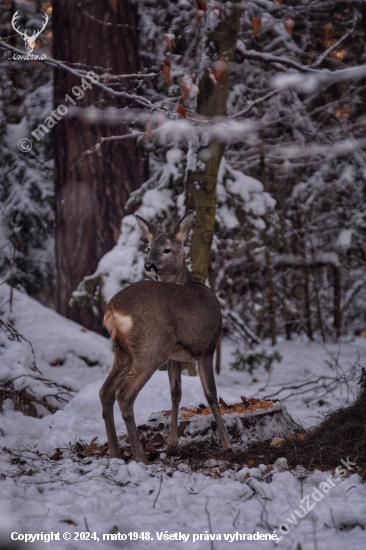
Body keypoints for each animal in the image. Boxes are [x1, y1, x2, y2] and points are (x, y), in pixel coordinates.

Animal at [100, 213, 232, 464]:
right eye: (149, 247)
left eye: (166, 249)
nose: (149, 265)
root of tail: (112, 310)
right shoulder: (207, 347)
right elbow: (211, 394)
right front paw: (228, 445)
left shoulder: (175, 356)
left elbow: (175, 393)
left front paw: (172, 445)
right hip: (152, 347)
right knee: (124, 394)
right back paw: (140, 456)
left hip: (123, 350)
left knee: (106, 391)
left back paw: (115, 453)